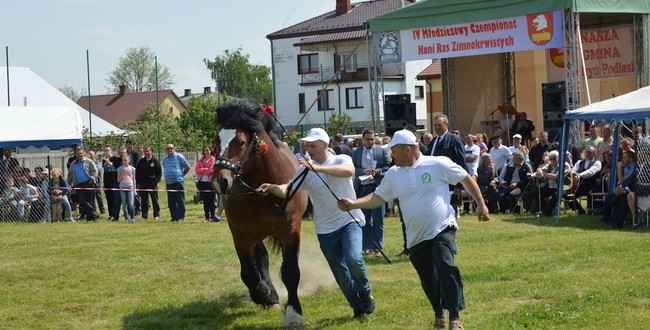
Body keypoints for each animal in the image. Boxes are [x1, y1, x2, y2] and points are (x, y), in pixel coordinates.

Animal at [210, 98, 306, 328]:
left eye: (241, 142)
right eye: (216, 141)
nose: (220, 181)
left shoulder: (290, 231)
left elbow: (291, 271)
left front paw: (294, 313)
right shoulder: (241, 236)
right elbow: (249, 273)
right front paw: (264, 294)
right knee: (261, 259)